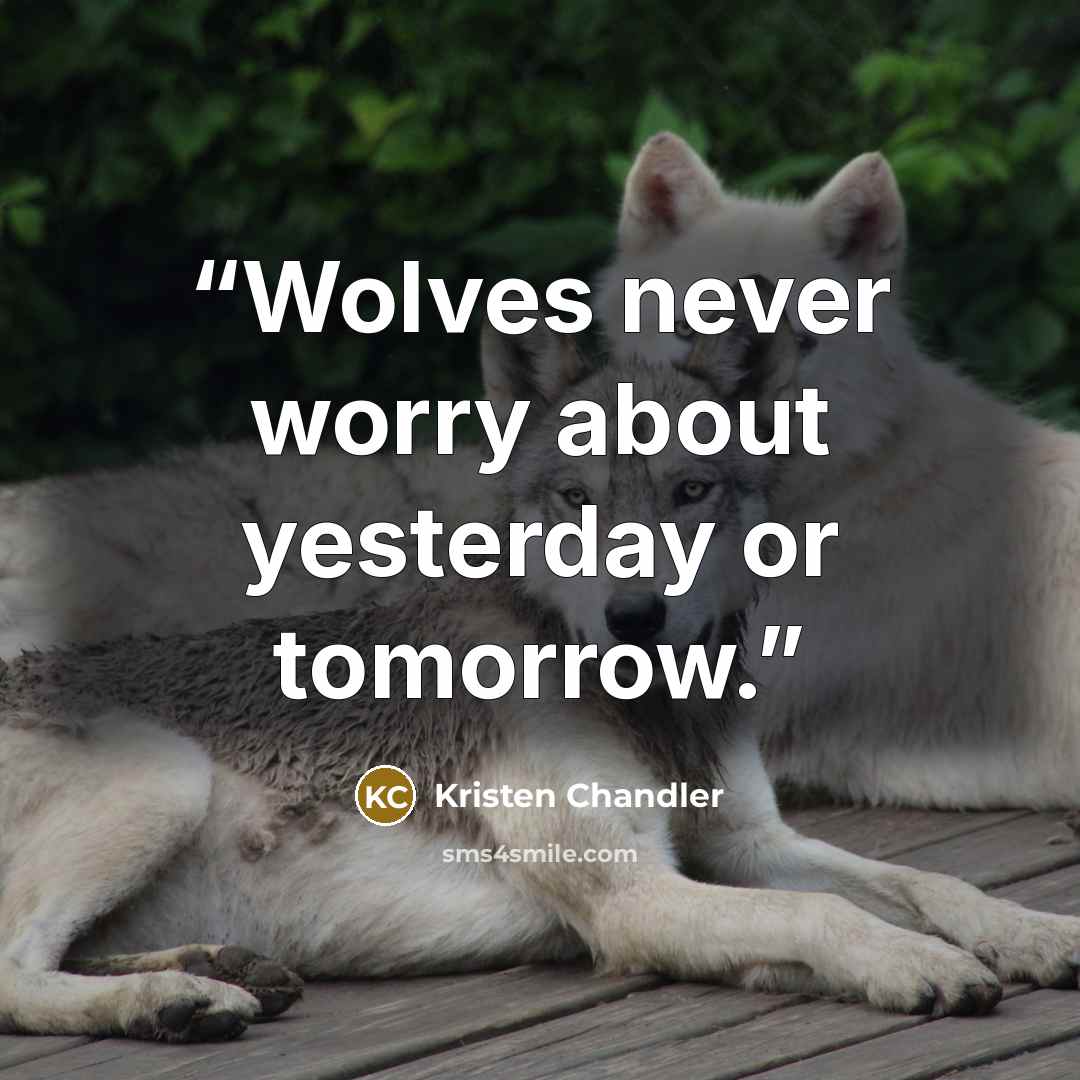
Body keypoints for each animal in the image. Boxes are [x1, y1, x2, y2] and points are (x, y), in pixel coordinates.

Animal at [4, 309, 1080, 1044]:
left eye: (691, 491)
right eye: (575, 498)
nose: (634, 614)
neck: (644, 707)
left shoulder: (747, 842)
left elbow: (931, 880)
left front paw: (1031, 934)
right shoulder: (637, 900)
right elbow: (824, 912)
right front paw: (916, 964)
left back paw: (213, 971)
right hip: (163, 776)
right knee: (14, 973)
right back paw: (173, 999)